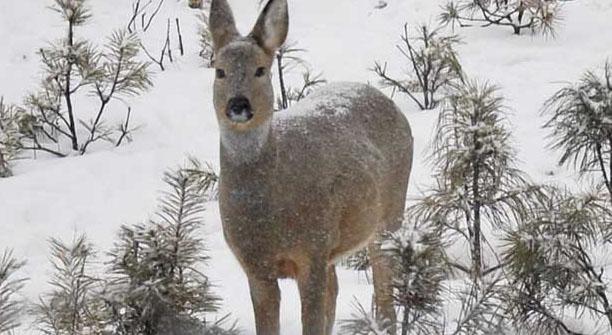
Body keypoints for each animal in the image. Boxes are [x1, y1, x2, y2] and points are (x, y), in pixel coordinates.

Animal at [208, 1, 414, 334]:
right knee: (337, 286)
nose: (238, 105)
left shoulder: (312, 250)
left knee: (383, 286)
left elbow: (313, 320)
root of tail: (388, 100)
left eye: (260, 70)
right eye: (220, 71)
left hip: (390, 211)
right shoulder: (255, 267)